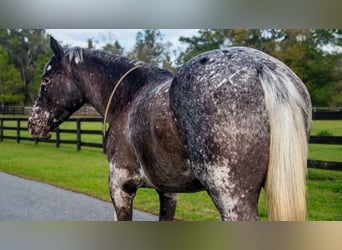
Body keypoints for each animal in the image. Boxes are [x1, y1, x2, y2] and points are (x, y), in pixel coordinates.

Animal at [28, 36, 312, 221]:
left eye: (45, 81)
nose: (33, 124)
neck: (129, 96)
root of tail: (263, 68)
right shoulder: (168, 191)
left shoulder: (120, 187)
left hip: (232, 198)